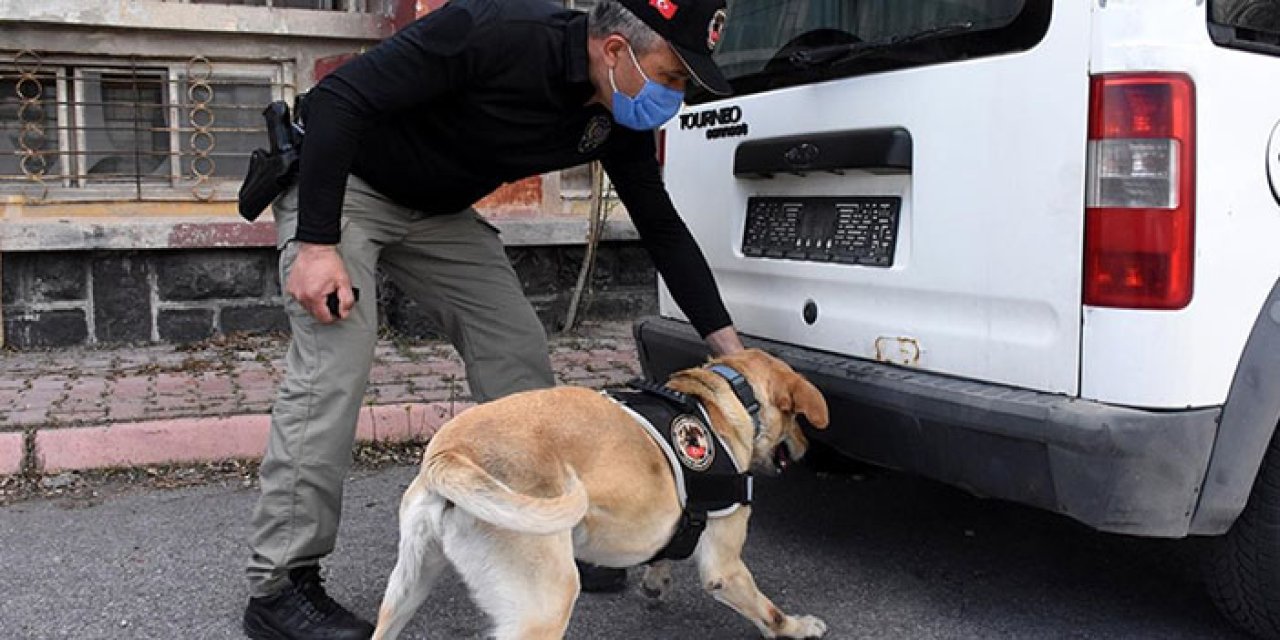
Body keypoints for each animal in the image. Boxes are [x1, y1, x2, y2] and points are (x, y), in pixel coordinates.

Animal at [371, 350, 829, 640]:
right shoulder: (725, 567)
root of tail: (449, 453)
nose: (809, 448)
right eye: (798, 419)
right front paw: (797, 627)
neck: (724, 397)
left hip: (407, 588)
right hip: (546, 605)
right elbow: (768, 611)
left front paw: (656, 579)